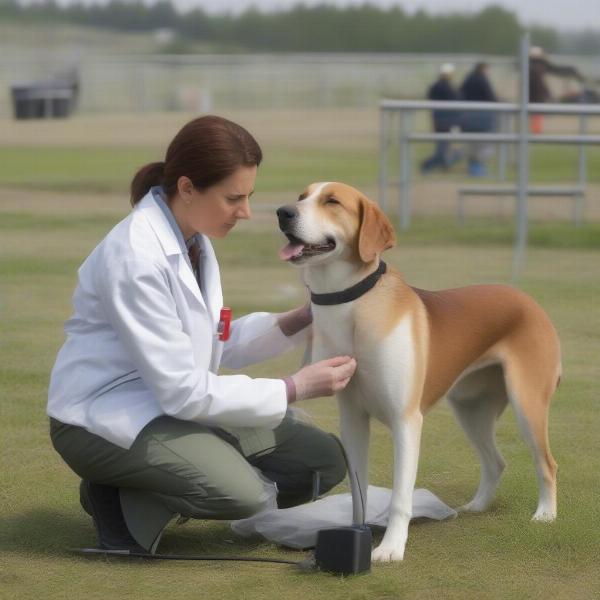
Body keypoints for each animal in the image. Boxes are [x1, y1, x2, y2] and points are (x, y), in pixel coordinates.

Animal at [278, 182, 560, 564]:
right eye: (301, 197)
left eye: (331, 201)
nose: (283, 213)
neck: (352, 304)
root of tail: (528, 300)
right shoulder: (352, 419)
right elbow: (358, 492)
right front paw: (356, 535)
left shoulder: (406, 420)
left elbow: (401, 497)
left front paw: (391, 548)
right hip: (470, 409)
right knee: (495, 462)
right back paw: (477, 506)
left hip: (526, 404)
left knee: (546, 464)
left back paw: (545, 514)